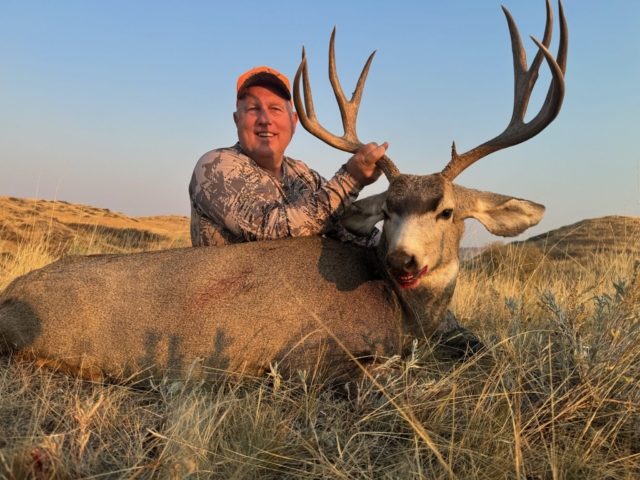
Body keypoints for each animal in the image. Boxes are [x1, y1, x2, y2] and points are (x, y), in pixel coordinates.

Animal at [0, 1, 567, 383]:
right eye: (387, 210)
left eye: (446, 210)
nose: (403, 259)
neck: (403, 311)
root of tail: (8, 299)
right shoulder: (305, 353)